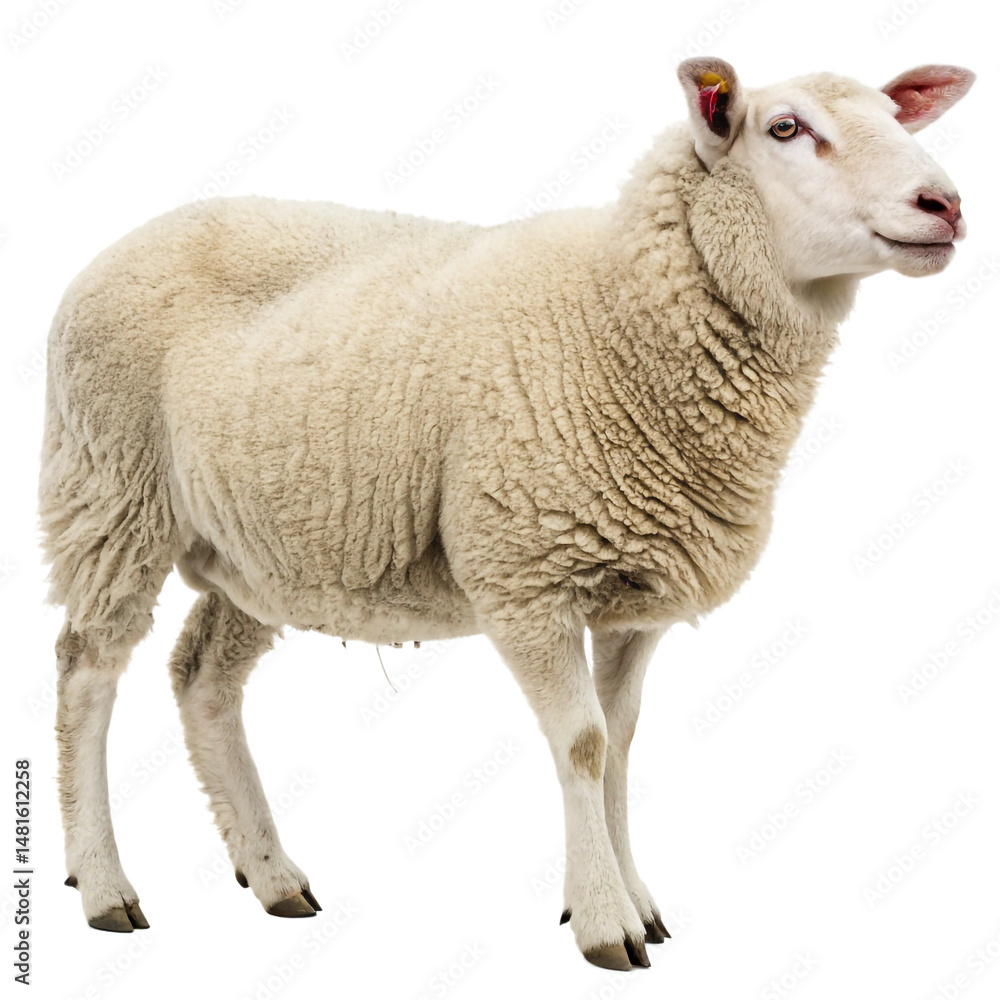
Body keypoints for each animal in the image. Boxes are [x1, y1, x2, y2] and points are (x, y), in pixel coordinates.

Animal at [39, 57, 974, 969]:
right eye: (785, 128)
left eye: (895, 118)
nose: (946, 205)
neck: (616, 317)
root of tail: (121, 242)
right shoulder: (527, 576)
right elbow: (583, 744)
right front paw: (605, 922)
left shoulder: (637, 598)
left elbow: (621, 741)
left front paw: (637, 899)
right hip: (111, 489)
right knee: (87, 671)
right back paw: (104, 886)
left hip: (263, 543)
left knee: (202, 678)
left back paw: (271, 875)